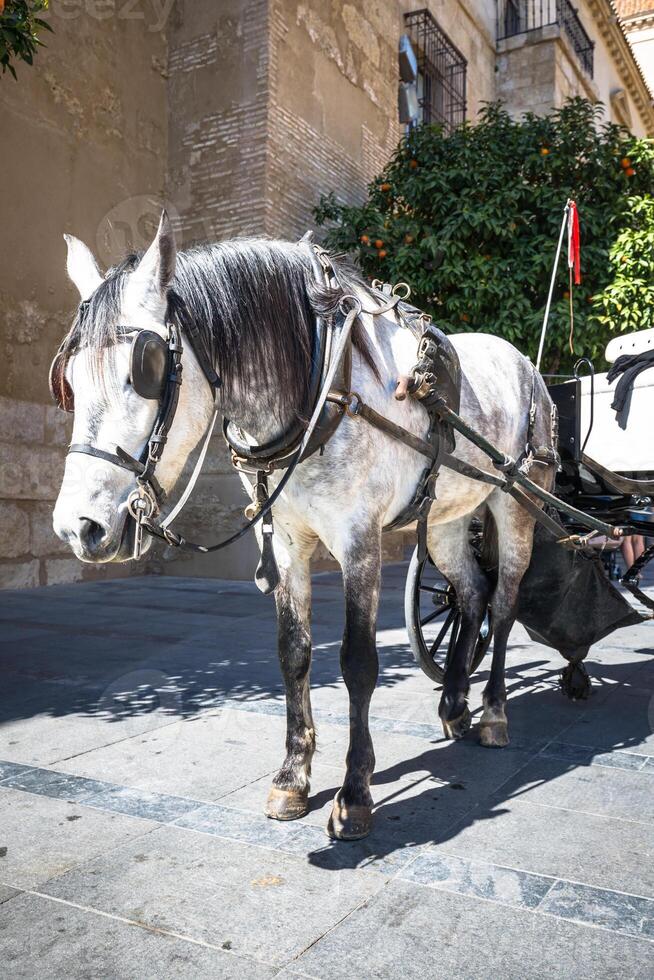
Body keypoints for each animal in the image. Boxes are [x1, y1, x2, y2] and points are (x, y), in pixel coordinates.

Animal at [51, 211, 556, 840]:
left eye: (144, 371)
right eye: (68, 380)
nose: (78, 528)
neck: (321, 385)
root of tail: (526, 364)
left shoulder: (360, 541)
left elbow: (358, 663)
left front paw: (356, 792)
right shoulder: (288, 543)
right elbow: (294, 652)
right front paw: (293, 776)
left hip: (517, 503)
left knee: (505, 602)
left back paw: (492, 713)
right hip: (447, 518)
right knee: (471, 594)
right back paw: (455, 703)